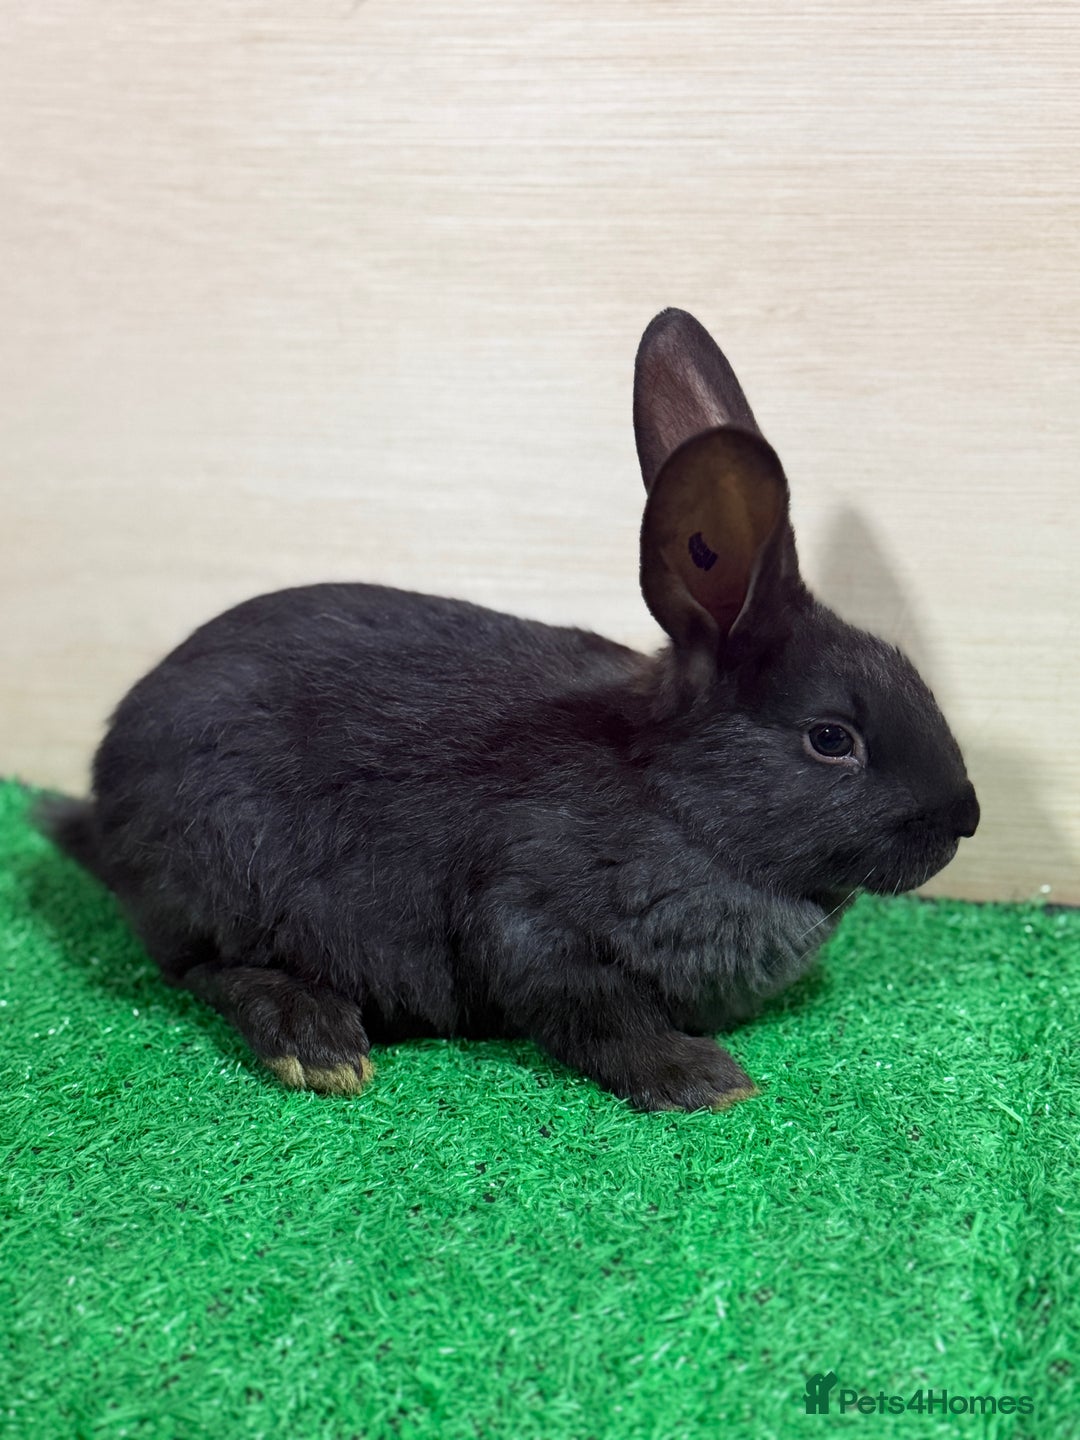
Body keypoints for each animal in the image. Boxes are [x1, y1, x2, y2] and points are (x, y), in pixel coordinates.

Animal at [38, 309, 979, 1111]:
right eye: (831, 738)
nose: (965, 819)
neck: (676, 803)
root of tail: (106, 796)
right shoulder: (526, 909)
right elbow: (590, 1008)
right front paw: (703, 1079)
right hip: (224, 872)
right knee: (205, 968)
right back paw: (317, 1040)